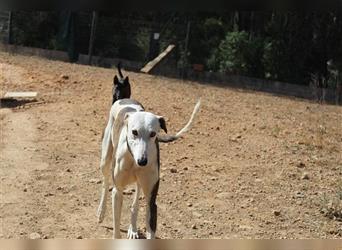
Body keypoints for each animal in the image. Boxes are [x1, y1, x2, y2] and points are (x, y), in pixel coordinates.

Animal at [96, 97, 200, 238]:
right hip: (105, 159)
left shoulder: (152, 200)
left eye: (153, 134)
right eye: (134, 132)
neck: (133, 159)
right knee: (105, 182)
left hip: (141, 181)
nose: (143, 161)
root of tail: (125, 99)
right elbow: (116, 226)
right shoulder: (117, 192)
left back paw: (133, 229)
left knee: (136, 199)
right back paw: (101, 212)